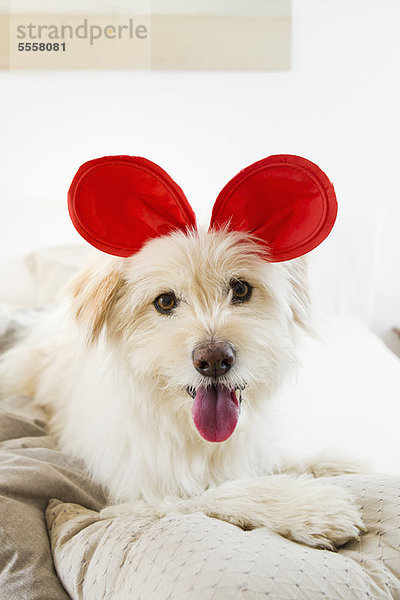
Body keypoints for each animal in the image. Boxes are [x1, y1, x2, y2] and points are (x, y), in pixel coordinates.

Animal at [0, 154, 366, 548]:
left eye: (240, 289)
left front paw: (334, 464)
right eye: (165, 301)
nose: (214, 359)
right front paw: (308, 507)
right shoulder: (138, 500)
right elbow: (225, 491)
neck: (193, 434)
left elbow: (275, 458)